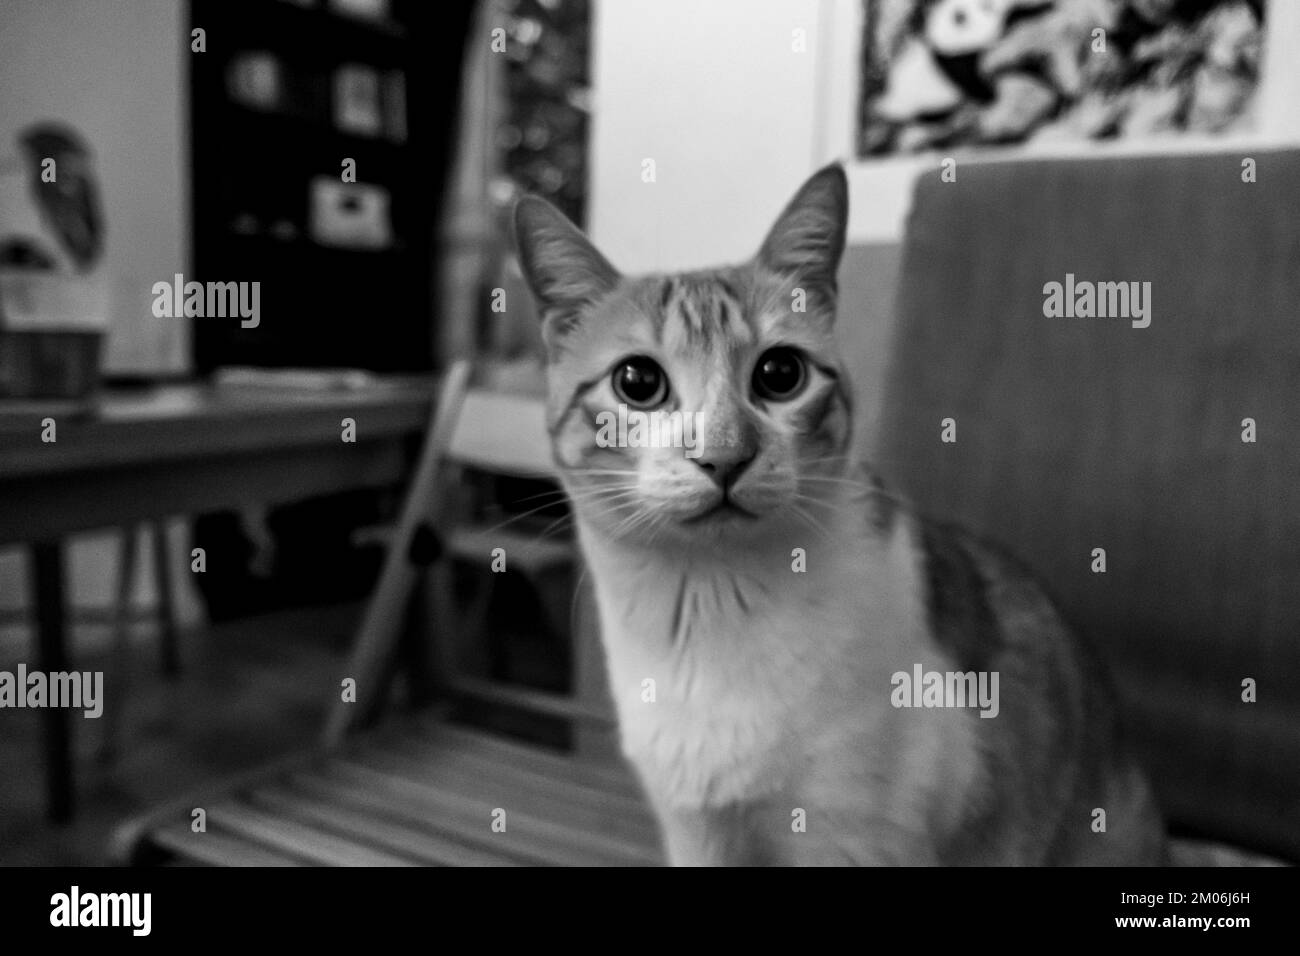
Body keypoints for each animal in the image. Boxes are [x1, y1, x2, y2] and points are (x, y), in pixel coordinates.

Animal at [514, 162, 1170, 868]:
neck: (712, 602)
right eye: (637, 382)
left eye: (780, 373)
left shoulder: (853, 841)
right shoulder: (697, 832)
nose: (724, 457)